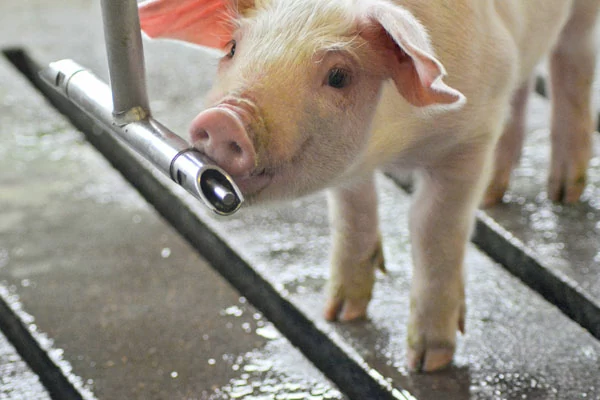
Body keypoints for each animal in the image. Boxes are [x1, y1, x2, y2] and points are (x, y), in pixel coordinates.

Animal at [138, 0, 596, 372]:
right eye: (232, 48)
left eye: (339, 76)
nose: (223, 120)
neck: (395, 147)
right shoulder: (352, 172)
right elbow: (351, 210)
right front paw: (339, 315)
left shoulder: (470, 141)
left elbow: (433, 228)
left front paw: (428, 362)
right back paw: (492, 196)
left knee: (571, 62)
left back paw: (562, 193)